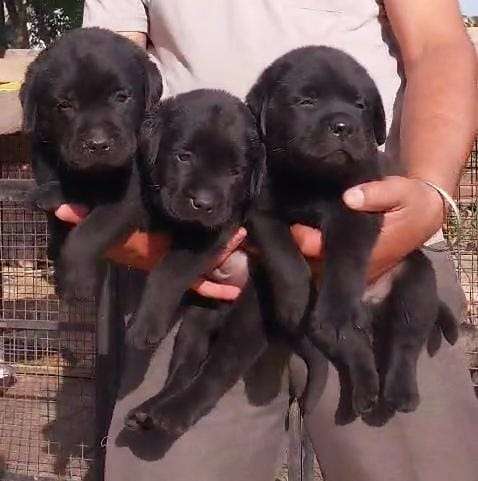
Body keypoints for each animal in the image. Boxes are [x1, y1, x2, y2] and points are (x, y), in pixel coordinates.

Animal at [19, 27, 162, 300]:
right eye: (64, 105)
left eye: (121, 97)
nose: (98, 144)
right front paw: (53, 193)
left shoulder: (129, 195)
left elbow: (89, 232)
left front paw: (77, 283)